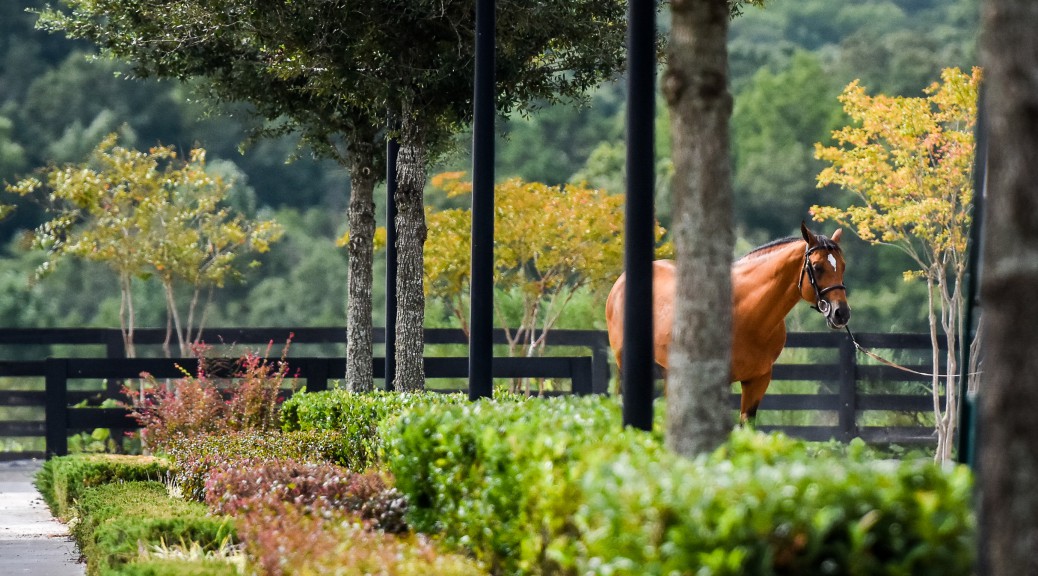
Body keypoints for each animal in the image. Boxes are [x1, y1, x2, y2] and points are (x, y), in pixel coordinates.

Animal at [606, 223, 847, 421]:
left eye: (842, 266)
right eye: (817, 267)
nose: (841, 313)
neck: (746, 311)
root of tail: (620, 284)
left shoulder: (758, 381)